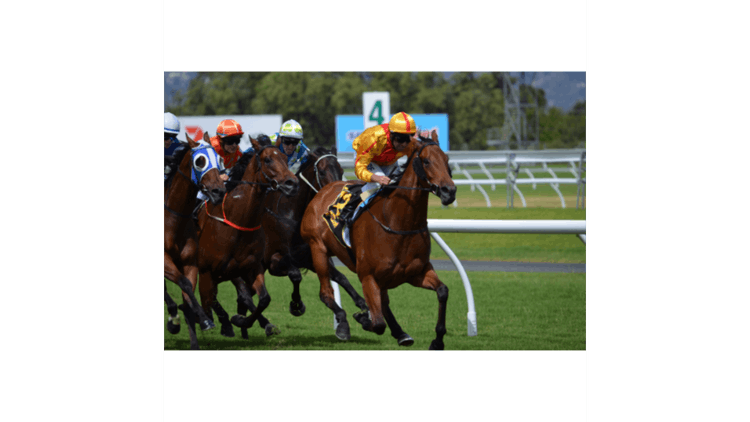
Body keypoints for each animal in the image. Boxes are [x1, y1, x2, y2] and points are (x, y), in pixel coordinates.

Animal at [167, 132, 229, 350]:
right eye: (200, 161)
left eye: (219, 159)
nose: (219, 191)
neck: (174, 220)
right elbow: (184, 285)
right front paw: (204, 319)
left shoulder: (190, 263)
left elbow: (188, 297)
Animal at [194, 138, 300, 340]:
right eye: (267, 160)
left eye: (285, 158)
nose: (292, 183)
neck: (239, 220)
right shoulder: (215, 270)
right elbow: (239, 296)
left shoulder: (255, 266)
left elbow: (264, 298)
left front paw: (242, 321)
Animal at [302, 132, 458, 350]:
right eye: (426, 161)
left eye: (446, 160)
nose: (448, 191)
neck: (398, 223)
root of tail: (323, 190)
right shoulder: (367, 276)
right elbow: (377, 323)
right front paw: (362, 317)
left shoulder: (417, 272)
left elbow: (443, 291)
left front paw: (437, 340)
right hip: (317, 249)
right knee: (326, 293)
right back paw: (344, 326)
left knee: (383, 303)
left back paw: (401, 333)